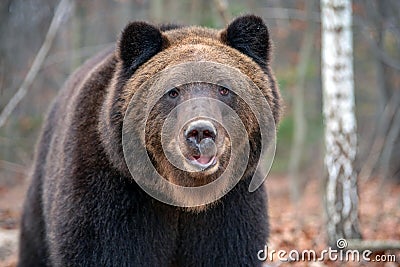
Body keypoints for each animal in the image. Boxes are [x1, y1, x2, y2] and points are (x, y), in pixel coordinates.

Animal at [18, 15, 282, 267]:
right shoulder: (112, 194)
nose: (200, 131)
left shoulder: (230, 205)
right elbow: (103, 249)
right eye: (173, 91)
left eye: (224, 89)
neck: (184, 196)